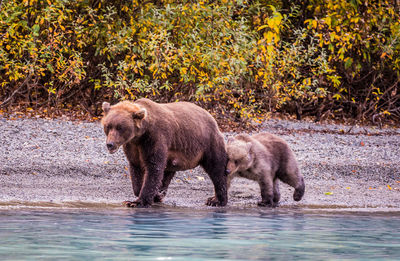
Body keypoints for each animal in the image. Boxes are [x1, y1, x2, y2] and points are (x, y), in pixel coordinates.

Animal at [99, 98, 227, 207]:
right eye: (108, 126)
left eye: (120, 127)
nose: (110, 144)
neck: (139, 136)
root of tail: (212, 118)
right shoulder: (132, 146)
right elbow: (136, 168)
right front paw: (149, 194)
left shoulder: (155, 137)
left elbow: (153, 167)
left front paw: (137, 202)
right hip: (174, 157)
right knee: (167, 173)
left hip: (209, 142)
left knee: (216, 169)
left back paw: (216, 200)